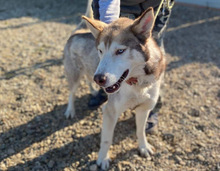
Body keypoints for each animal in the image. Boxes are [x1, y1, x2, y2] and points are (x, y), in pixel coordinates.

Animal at [63, 0, 165, 169]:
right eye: (100, 51)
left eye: (120, 51)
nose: (99, 79)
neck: (136, 83)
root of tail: (80, 30)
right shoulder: (110, 111)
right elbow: (106, 139)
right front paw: (103, 159)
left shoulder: (144, 109)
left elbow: (140, 131)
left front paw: (143, 147)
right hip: (75, 74)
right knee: (72, 92)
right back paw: (70, 110)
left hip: (89, 70)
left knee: (87, 79)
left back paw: (93, 91)